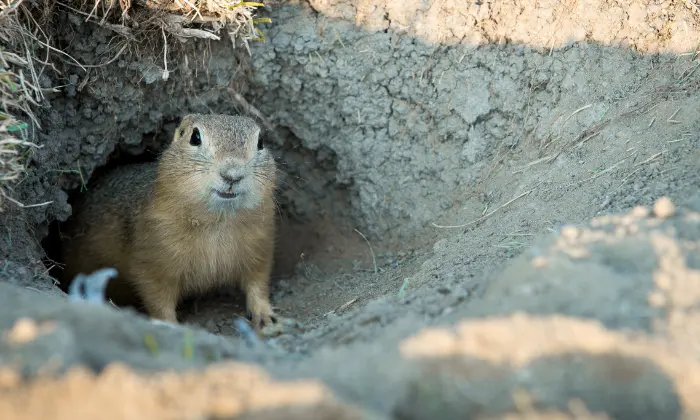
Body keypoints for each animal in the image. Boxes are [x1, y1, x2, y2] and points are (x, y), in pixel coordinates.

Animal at [60, 113, 278, 330]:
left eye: (261, 142)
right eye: (195, 137)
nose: (232, 174)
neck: (218, 221)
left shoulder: (260, 245)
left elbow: (258, 281)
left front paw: (265, 316)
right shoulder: (154, 258)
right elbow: (157, 297)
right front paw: (170, 325)